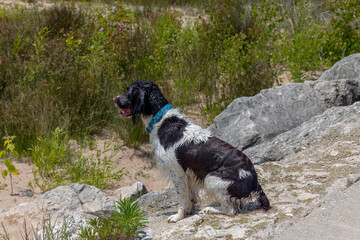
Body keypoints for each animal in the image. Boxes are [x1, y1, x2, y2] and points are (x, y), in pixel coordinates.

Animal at [114, 81, 268, 223]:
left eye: (128, 92)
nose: (114, 99)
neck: (162, 121)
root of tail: (254, 179)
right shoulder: (189, 173)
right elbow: (191, 196)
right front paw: (189, 211)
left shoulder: (176, 172)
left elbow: (182, 197)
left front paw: (178, 216)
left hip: (211, 179)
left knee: (230, 210)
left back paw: (209, 209)